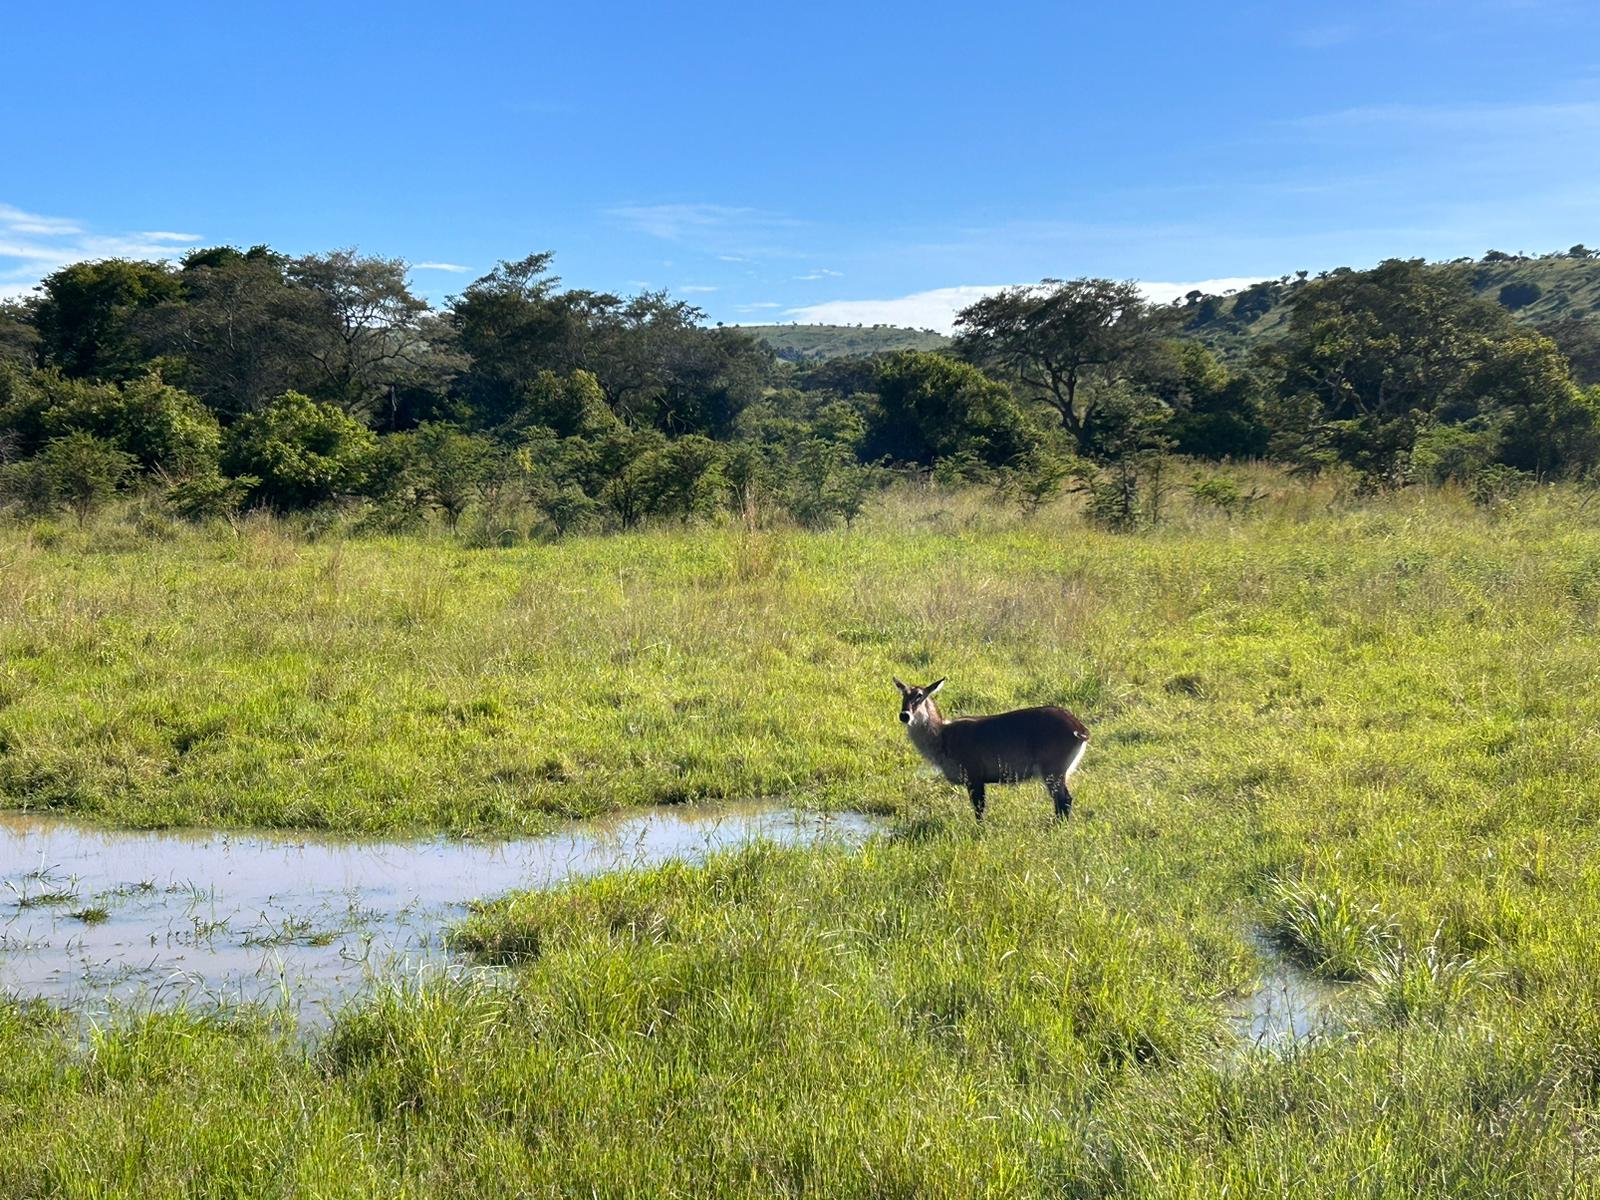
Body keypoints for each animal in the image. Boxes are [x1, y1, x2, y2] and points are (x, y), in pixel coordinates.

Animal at [896, 681, 1094, 825]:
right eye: (903, 694)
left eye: (919, 696)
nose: (904, 715)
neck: (942, 738)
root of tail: (1080, 728)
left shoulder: (974, 776)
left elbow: (979, 808)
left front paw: (980, 830)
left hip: (1052, 769)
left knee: (1064, 799)